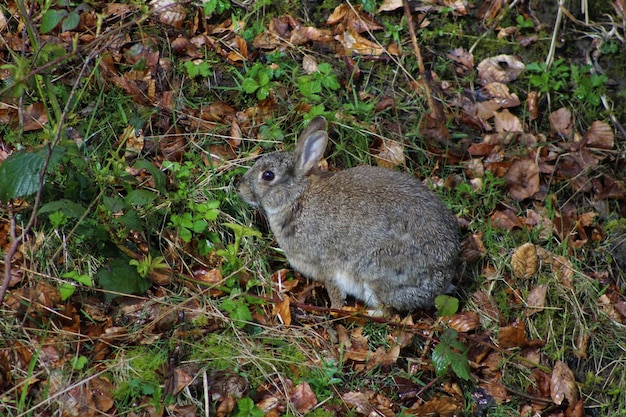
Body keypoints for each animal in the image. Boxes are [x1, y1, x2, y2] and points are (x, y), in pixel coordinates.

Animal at [236, 115, 460, 310]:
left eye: (268, 175)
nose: (240, 188)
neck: (297, 197)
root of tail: (444, 276)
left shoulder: (326, 265)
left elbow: (334, 289)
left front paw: (335, 309)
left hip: (377, 273)